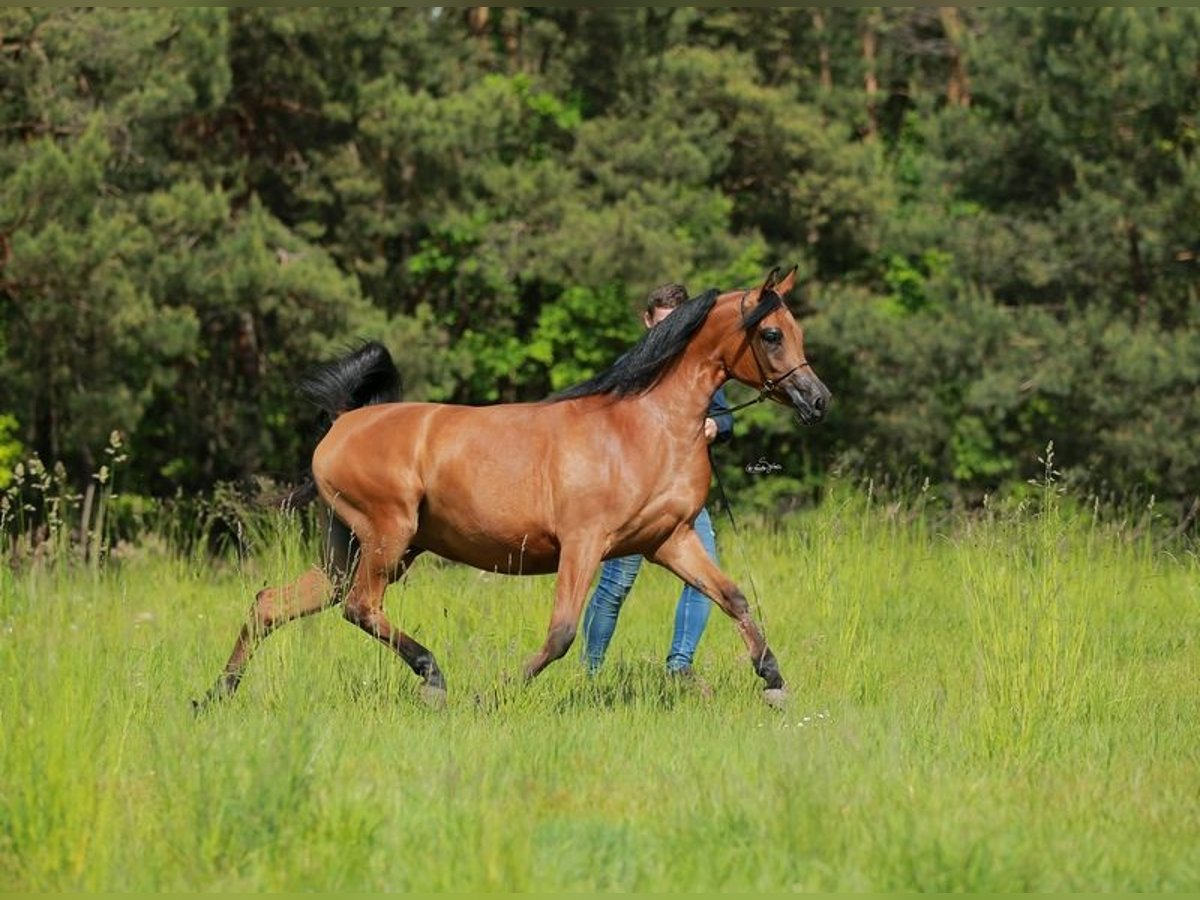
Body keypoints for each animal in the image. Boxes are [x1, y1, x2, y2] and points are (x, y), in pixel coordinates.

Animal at [196, 266, 831, 709]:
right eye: (771, 334)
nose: (818, 400)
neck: (642, 426)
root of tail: (344, 422)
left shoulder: (667, 540)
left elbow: (732, 597)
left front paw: (774, 681)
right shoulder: (585, 544)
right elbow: (562, 633)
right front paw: (492, 693)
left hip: (354, 549)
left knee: (270, 604)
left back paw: (215, 695)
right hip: (386, 537)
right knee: (359, 606)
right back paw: (434, 677)